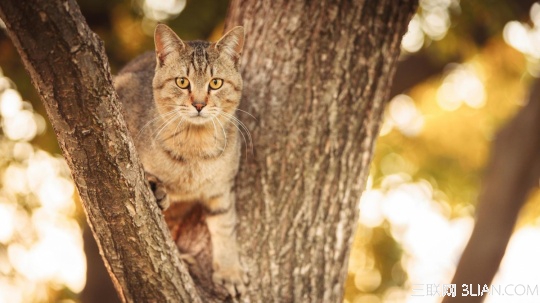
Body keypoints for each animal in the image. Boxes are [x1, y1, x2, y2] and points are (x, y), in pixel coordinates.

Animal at [116, 24, 249, 300]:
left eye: (215, 83)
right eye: (182, 82)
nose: (198, 104)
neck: (194, 148)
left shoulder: (221, 189)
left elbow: (225, 226)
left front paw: (229, 270)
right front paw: (155, 185)